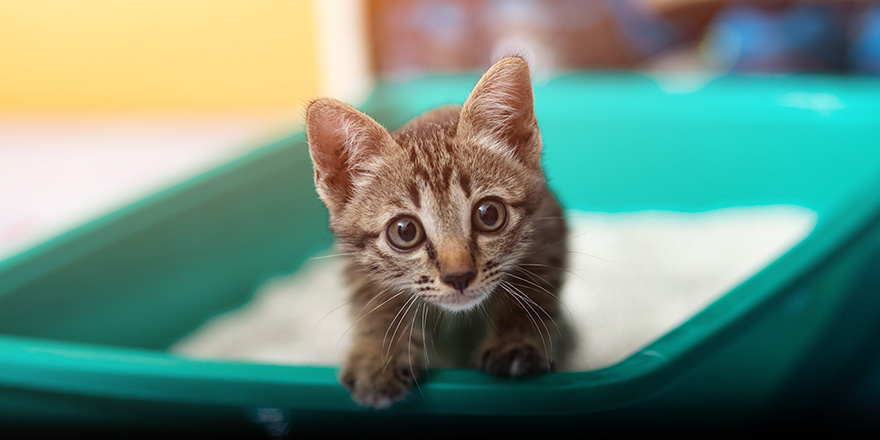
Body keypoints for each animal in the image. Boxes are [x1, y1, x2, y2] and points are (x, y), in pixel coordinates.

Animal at [306, 55, 568, 410]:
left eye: (489, 214)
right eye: (405, 231)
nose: (459, 277)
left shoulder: (548, 223)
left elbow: (535, 286)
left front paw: (516, 339)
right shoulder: (353, 259)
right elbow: (376, 301)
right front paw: (378, 357)